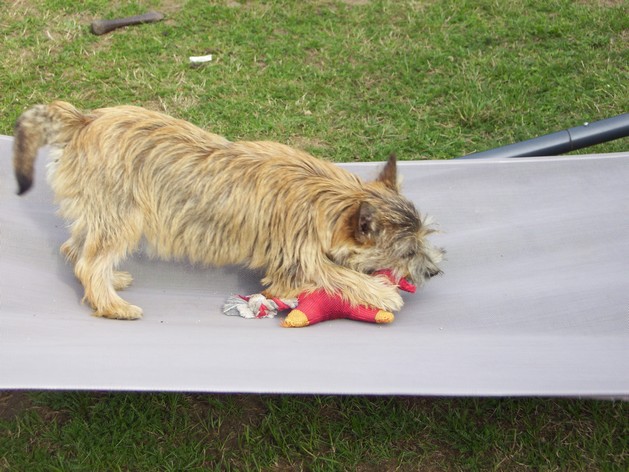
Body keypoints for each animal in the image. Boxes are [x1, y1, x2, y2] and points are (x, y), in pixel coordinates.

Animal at [11, 101, 442, 318]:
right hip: (123, 218)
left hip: (100, 211)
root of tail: (83, 120)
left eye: (426, 239)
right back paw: (113, 306)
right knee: (88, 262)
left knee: (76, 249)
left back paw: (110, 282)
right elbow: (338, 274)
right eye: (406, 251)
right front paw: (381, 293)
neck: (328, 198)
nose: (435, 271)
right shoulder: (296, 261)